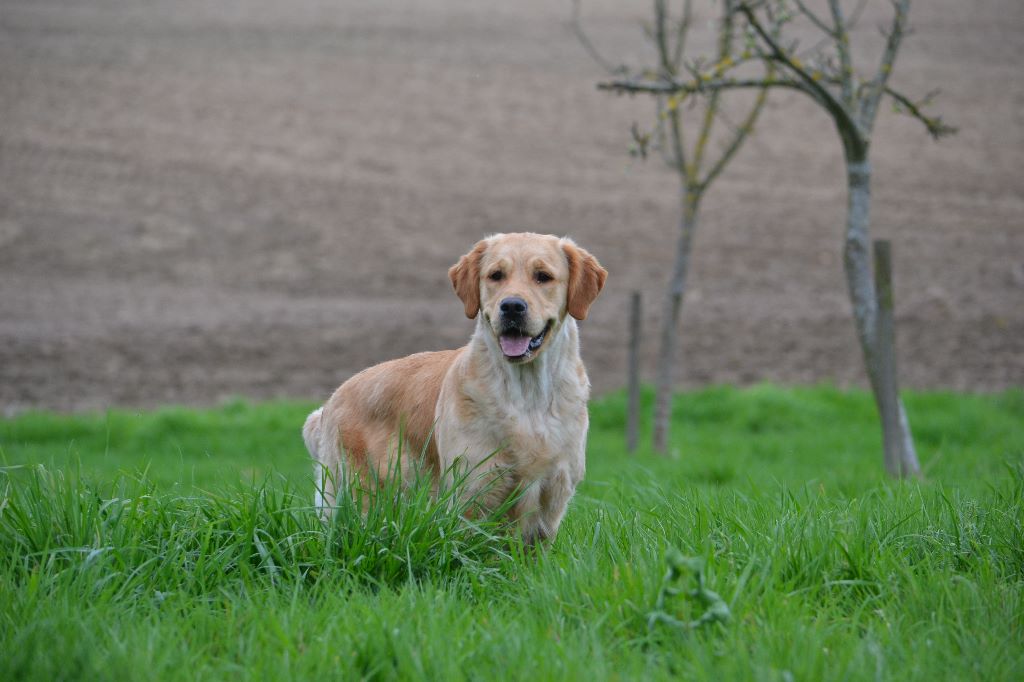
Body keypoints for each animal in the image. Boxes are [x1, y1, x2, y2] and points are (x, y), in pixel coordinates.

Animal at [303, 233, 606, 540]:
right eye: (496, 275)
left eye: (543, 276)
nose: (511, 306)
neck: (526, 396)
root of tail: (332, 400)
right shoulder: (471, 493)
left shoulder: (551, 502)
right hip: (356, 495)